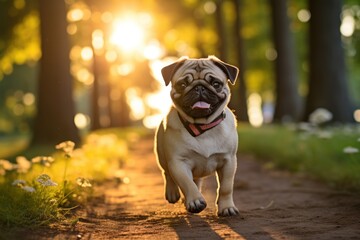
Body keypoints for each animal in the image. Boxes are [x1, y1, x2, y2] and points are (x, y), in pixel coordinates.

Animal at [155, 55, 239, 216]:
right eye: (182, 84)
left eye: (216, 84)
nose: (199, 87)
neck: (202, 126)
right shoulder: (178, 162)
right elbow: (187, 183)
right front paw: (195, 201)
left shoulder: (229, 161)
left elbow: (226, 187)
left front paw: (226, 207)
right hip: (161, 155)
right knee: (167, 173)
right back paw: (173, 193)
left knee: (197, 180)